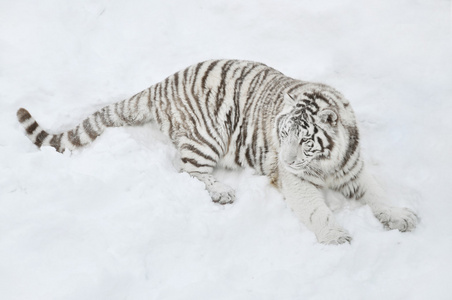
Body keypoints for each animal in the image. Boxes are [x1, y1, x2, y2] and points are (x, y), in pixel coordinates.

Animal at [15, 58, 418, 244]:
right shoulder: (295, 181)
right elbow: (316, 209)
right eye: (282, 133)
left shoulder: (353, 168)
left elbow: (378, 195)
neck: (326, 163)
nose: (287, 159)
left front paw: (400, 216)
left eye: (304, 140)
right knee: (187, 170)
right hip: (208, 136)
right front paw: (335, 236)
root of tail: (162, 83)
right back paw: (222, 190)